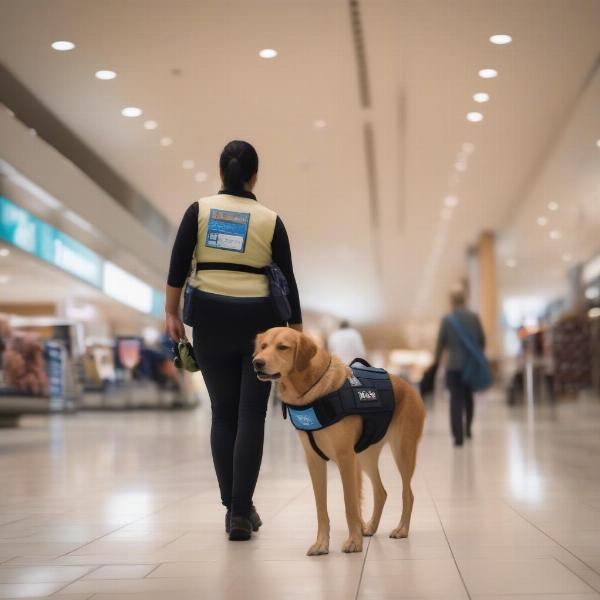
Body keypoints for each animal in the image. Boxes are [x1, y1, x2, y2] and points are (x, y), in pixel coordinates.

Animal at [253, 326, 426, 556]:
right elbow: (321, 507)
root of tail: (408, 386)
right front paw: (321, 544)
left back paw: (402, 529)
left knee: (408, 493)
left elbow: (350, 504)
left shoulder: (345, 458)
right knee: (381, 492)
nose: (257, 362)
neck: (311, 392)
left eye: (283, 347)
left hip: (402, 450)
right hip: (365, 456)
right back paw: (370, 527)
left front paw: (353, 542)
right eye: (263, 346)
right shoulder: (314, 460)